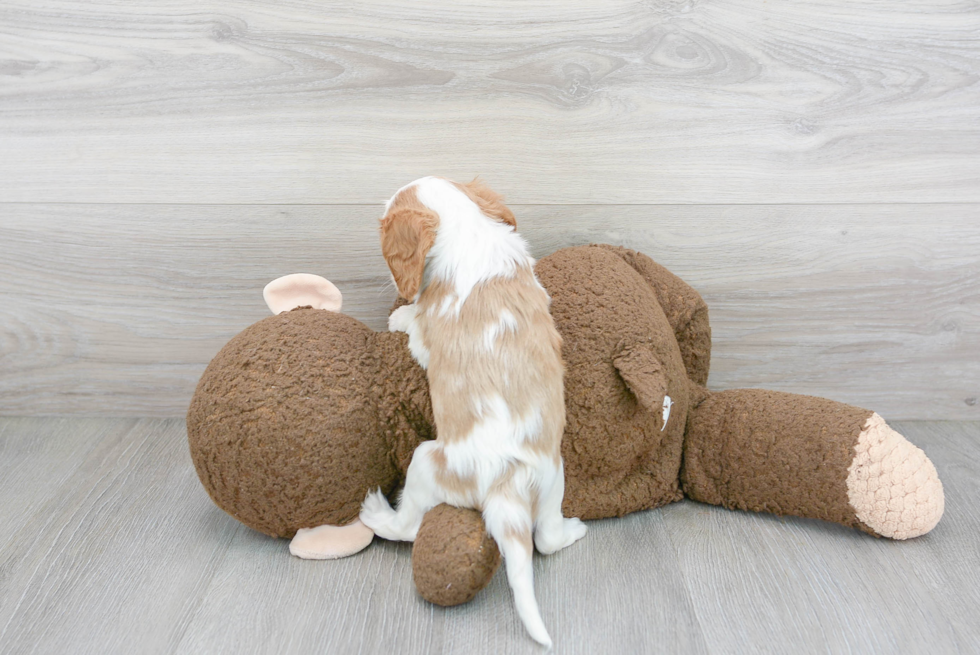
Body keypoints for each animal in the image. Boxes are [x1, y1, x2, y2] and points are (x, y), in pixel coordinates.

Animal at [362, 177, 584, 648]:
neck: (468, 229)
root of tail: (507, 482)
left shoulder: (426, 340)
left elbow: (414, 324)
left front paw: (401, 315)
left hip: (426, 461)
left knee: (407, 528)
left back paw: (377, 514)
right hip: (554, 476)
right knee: (546, 538)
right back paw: (572, 530)